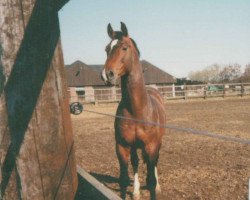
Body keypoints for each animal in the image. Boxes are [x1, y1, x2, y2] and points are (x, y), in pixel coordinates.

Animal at [100, 22, 165, 200]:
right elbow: (123, 179)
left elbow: (151, 181)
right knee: (136, 163)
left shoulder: (151, 146)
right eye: (107, 49)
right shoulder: (122, 147)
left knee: (154, 163)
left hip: (157, 144)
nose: (107, 75)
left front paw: (154, 187)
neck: (137, 110)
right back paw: (136, 191)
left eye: (124, 47)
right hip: (135, 146)